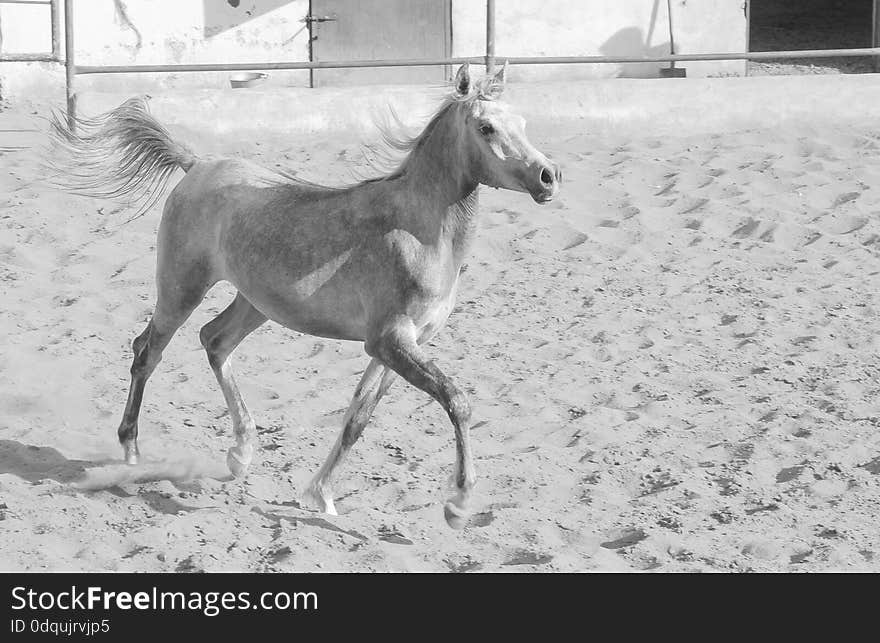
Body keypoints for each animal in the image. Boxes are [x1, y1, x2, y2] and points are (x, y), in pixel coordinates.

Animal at [49, 63, 556, 532]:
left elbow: (358, 419)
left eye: (523, 123)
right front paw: (458, 505)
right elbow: (456, 399)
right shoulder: (391, 341)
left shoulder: (399, 347)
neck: (416, 230)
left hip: (256, 303)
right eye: (486, 128)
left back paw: (241, 452)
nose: (549, 177)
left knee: (214, 341)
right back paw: (132, 452)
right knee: (147, 352)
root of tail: (197, 165)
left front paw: (321, 495)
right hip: (181, 289)